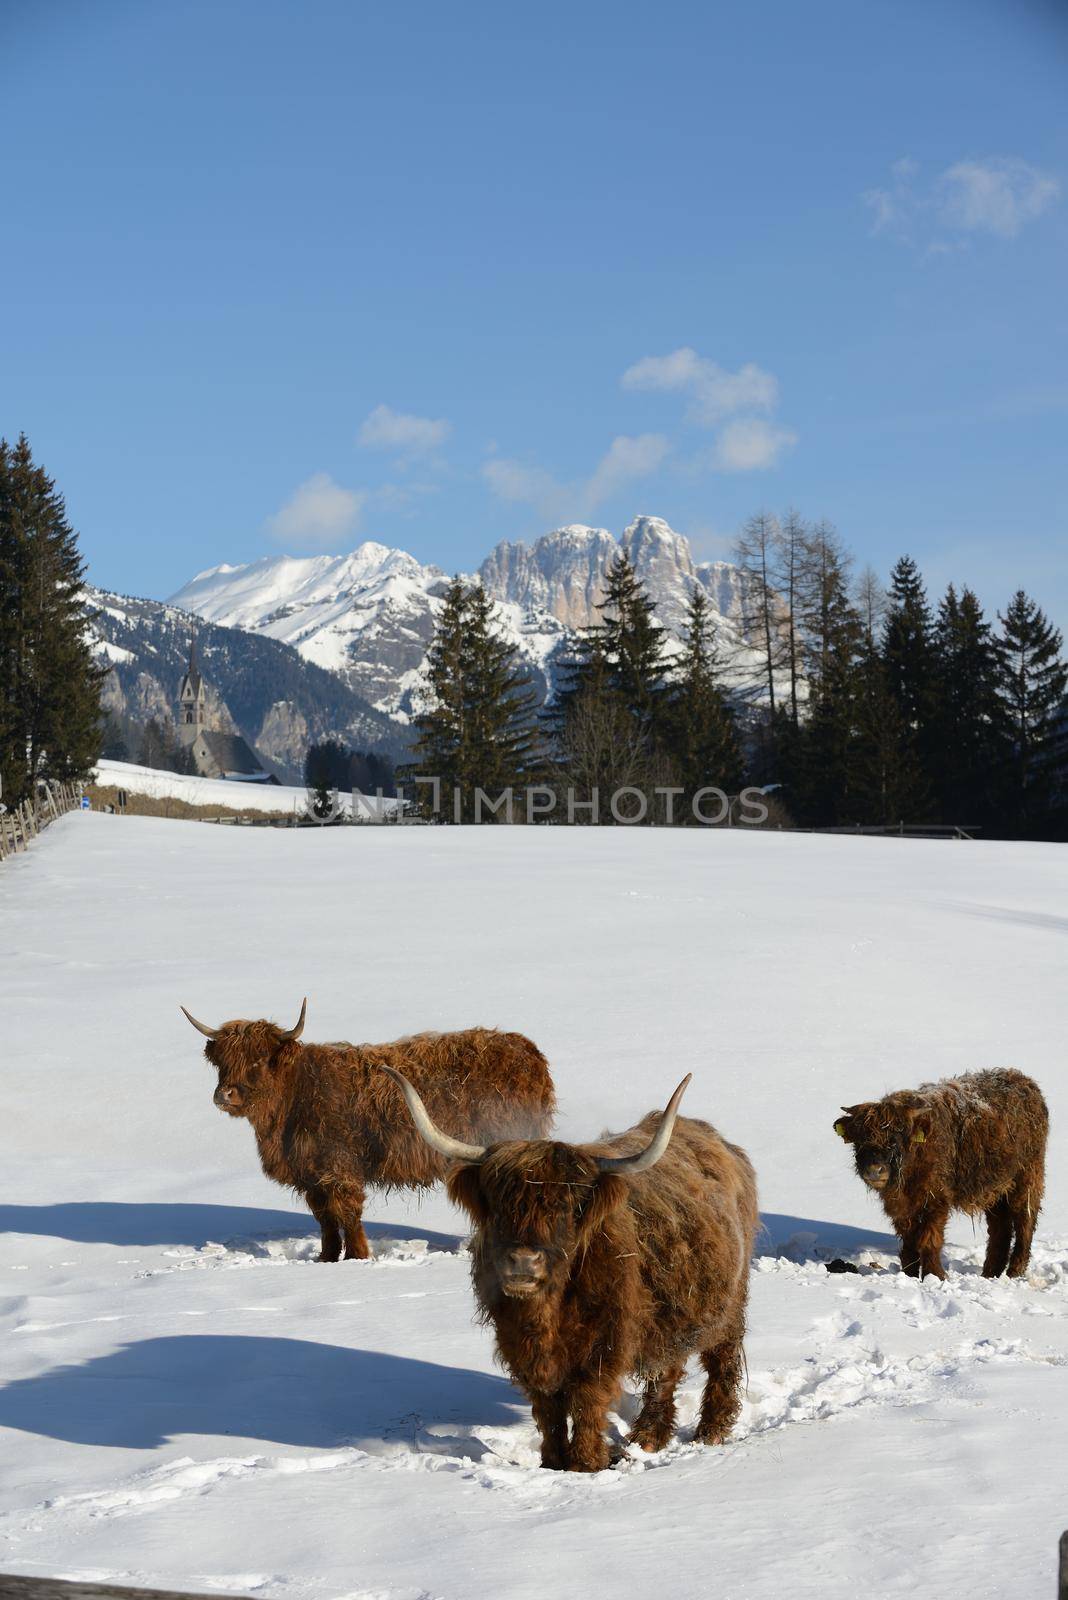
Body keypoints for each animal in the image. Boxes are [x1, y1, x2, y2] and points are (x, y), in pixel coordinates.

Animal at [180, 998, 556, 1260]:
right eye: (223, 1063)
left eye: (258, 1060)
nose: (224, 1094)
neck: (295, 1096)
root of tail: (528, 1051)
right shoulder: (312, 1176)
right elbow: (325, 1219)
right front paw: (326, 1258)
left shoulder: (339, 1169)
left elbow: (348, 1213)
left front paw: (358, 1257)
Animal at [378, 1062, 754, 1472]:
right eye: (499, 1204)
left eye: (566, 1208)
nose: (523, 1261)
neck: (548, 1311)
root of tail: (720, 1143)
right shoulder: (522, 1346)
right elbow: (549, 1408)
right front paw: (553, 1462)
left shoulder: (604, 1345)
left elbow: (588, 1402)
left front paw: (586, 1463)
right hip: (670, 1312)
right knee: (665, 1369)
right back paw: (648, 1438)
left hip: (730, 1302)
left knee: (722, 1358)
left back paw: (711, 1431)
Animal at [831, 1068, 1048, 1280]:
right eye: (860, 1140)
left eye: (895, 1138)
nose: (874, 1170)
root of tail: (1026, 1082)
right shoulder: (902, 1207)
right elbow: (909, 1242)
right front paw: (909, 1274)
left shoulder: (936, 1200)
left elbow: (929, 1239)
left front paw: (934, 1275)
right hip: (995, 1189)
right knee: (1000, 1229)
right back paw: (990, 1273)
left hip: (1028, 1178)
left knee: (1025, 1221)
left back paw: (1015, 1271)